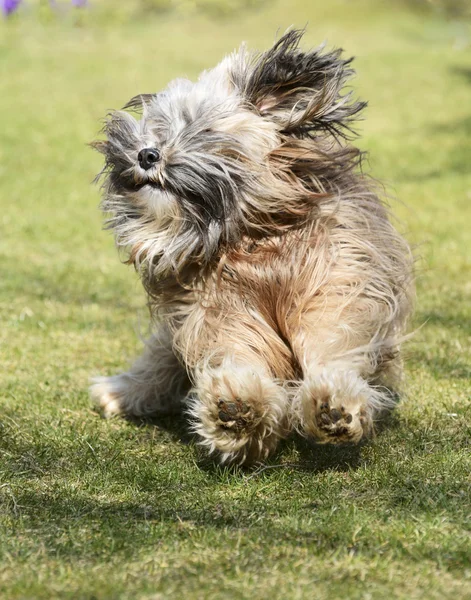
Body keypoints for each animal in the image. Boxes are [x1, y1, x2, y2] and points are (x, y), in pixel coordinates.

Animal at [90, 29, 414, 464]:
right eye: (157, 130)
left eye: (205, 133)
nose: (146, 154)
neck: (253, 241)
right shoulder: (215, 310)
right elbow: (239, 350)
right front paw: (237, 409)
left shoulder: (337, 282)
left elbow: (330, 340)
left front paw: (334, 404)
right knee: (159, 361)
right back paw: (122, 391)